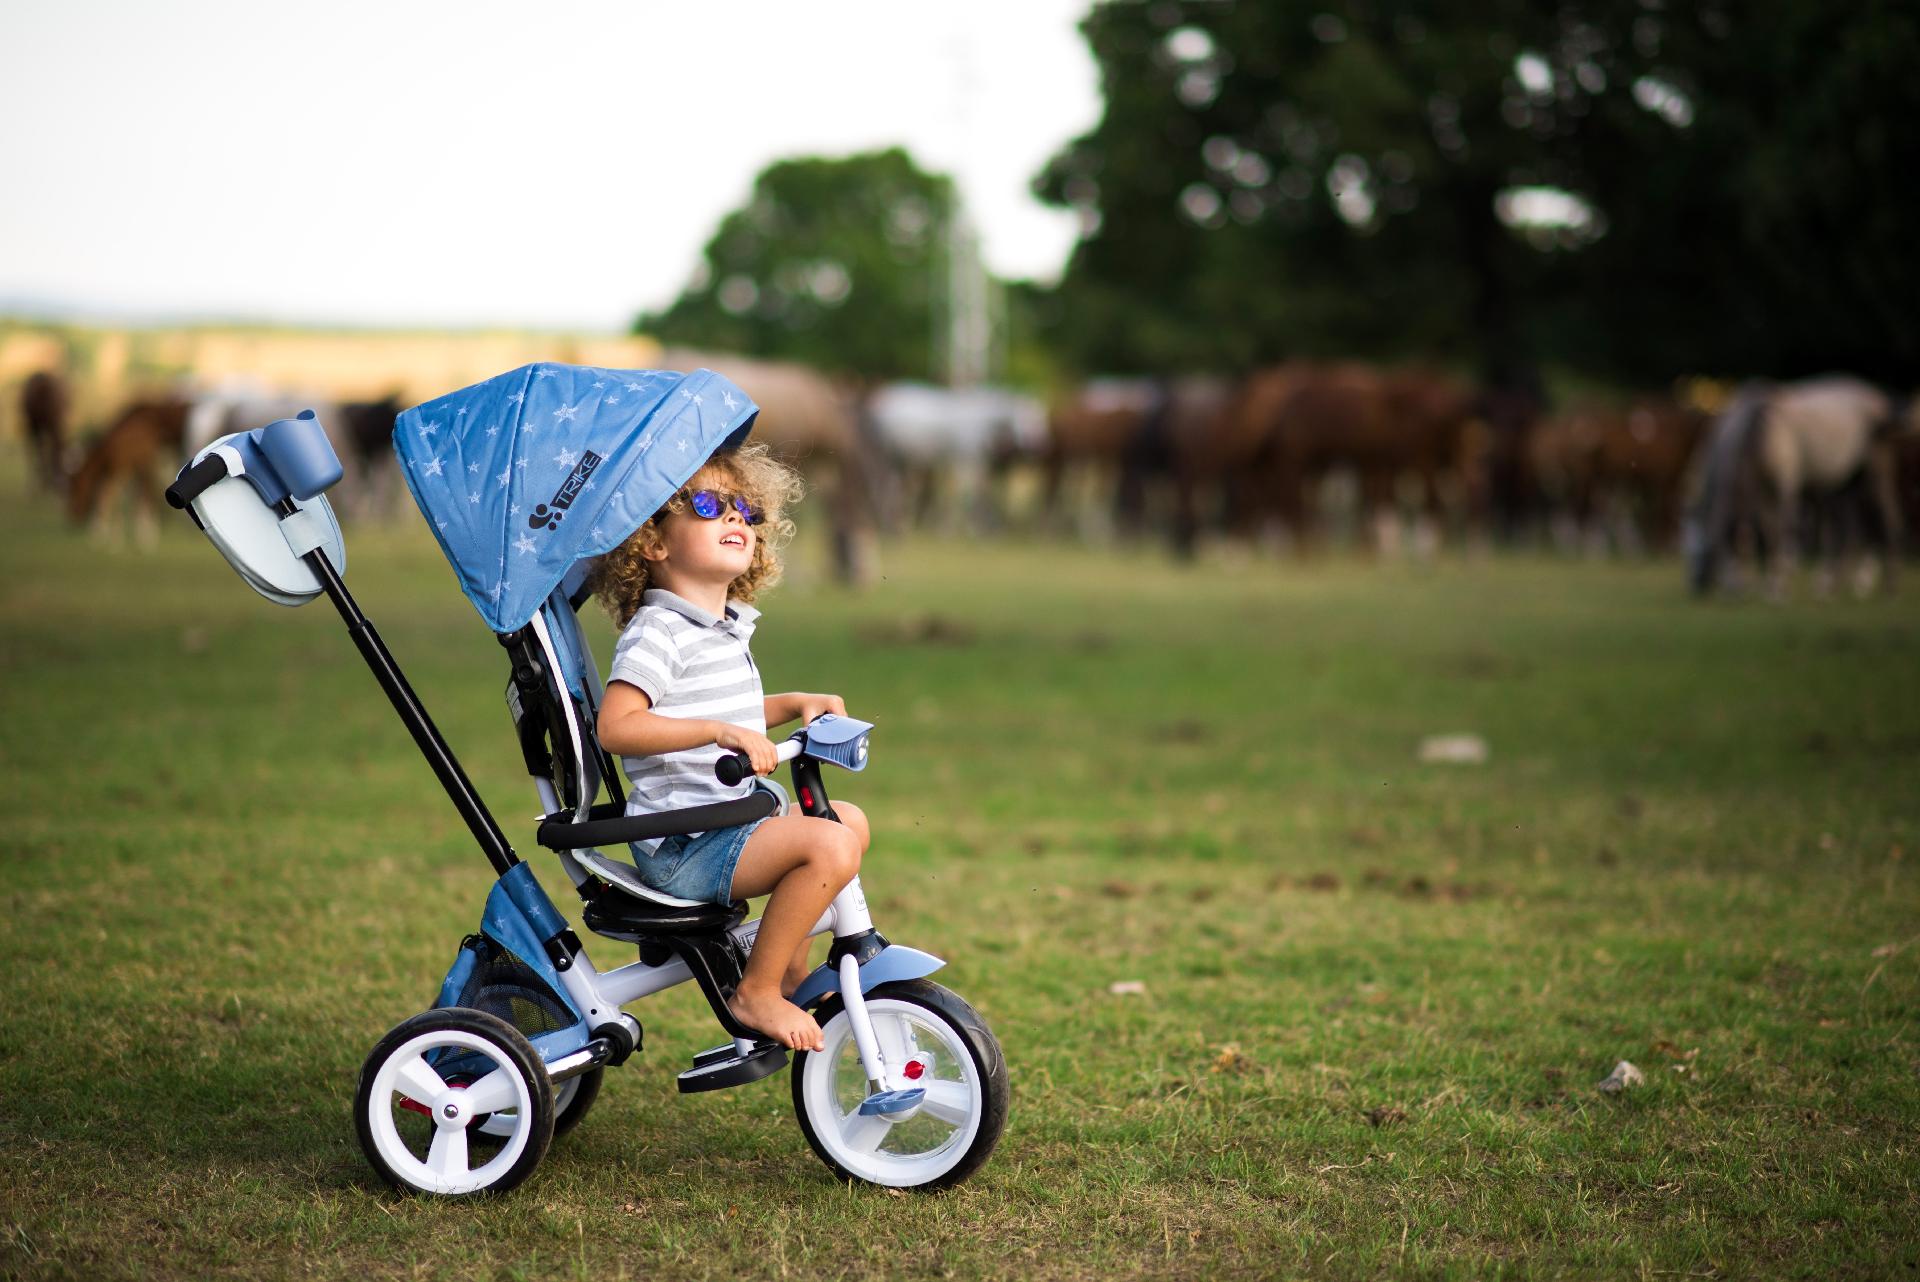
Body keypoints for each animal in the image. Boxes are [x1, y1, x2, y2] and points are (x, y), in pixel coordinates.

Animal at [67, 395, 191, 545]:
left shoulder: (133, 466)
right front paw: (103, 534)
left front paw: (141, 535)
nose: (73, 515)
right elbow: (112, 495)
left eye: (76, 488)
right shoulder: (123, 469)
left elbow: (128, 495)